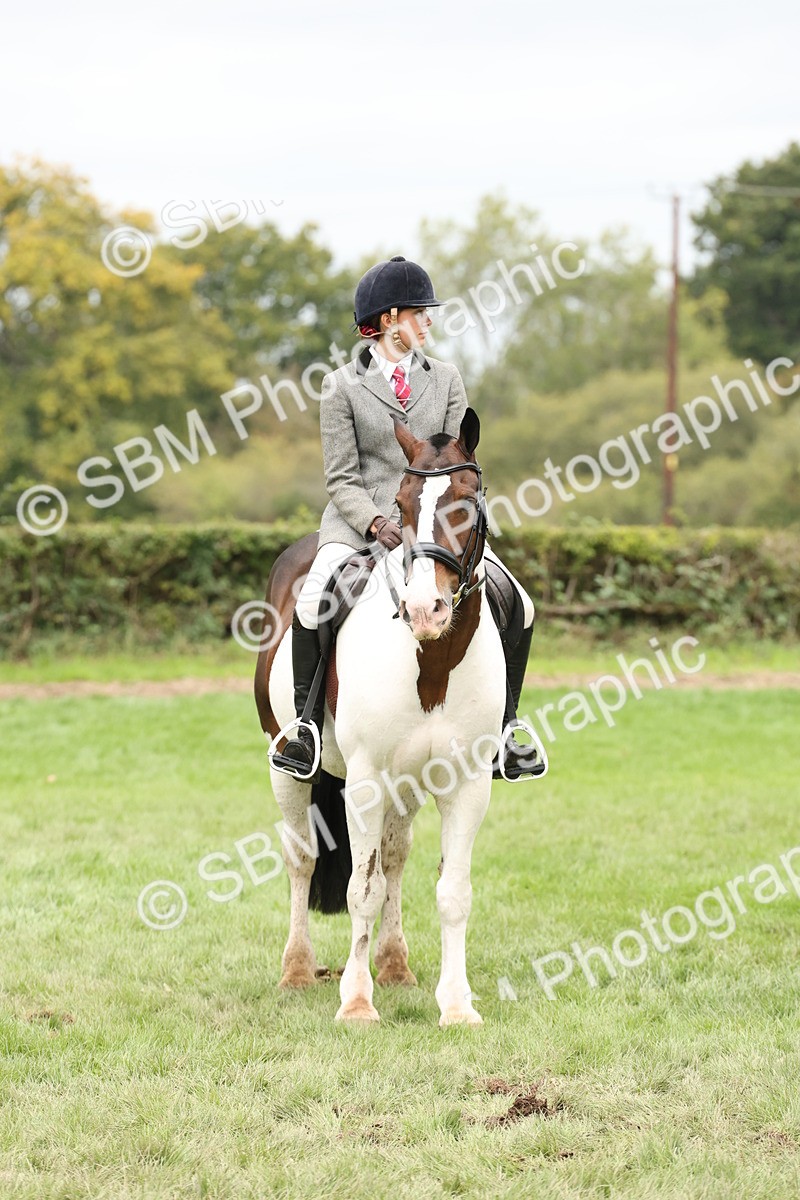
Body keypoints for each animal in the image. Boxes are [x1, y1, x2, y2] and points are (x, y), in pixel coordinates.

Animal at [254, 408, 520, 1025]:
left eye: (468, 501)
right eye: (401, 505)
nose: (425, 610)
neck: (433, 658)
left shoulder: (467, 783)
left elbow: (452, 892)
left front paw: (457, 1005)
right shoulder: (366, 781)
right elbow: (361, 889)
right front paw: (356, 1002)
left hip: (407, 781)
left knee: (395, 858)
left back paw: (396, 967)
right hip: (286, 764)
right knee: (302, 858)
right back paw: (297, 970)